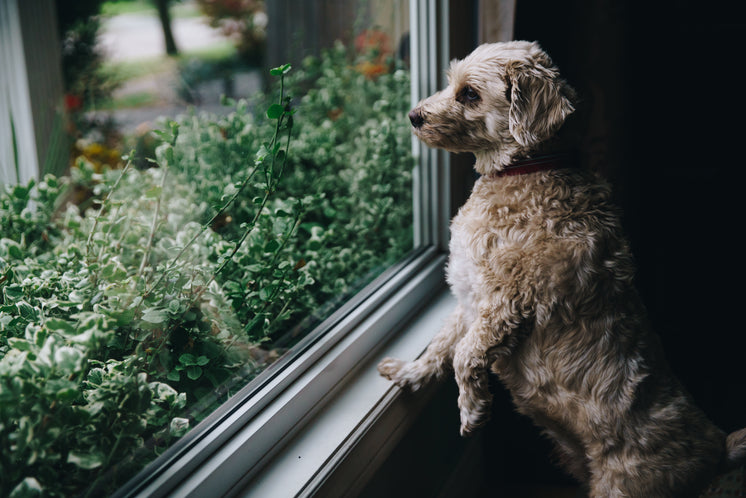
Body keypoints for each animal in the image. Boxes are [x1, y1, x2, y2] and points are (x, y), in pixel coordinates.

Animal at [378, 40, 744, 496]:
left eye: (469, 94)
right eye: (451, 83)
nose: (414, 116)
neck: (525, 171)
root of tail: (716, 448)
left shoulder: (507, 303)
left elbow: (464, 355)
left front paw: (473, 411)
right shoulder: (468, 299)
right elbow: (440, 348)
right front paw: (409, 374)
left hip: (625, 485)